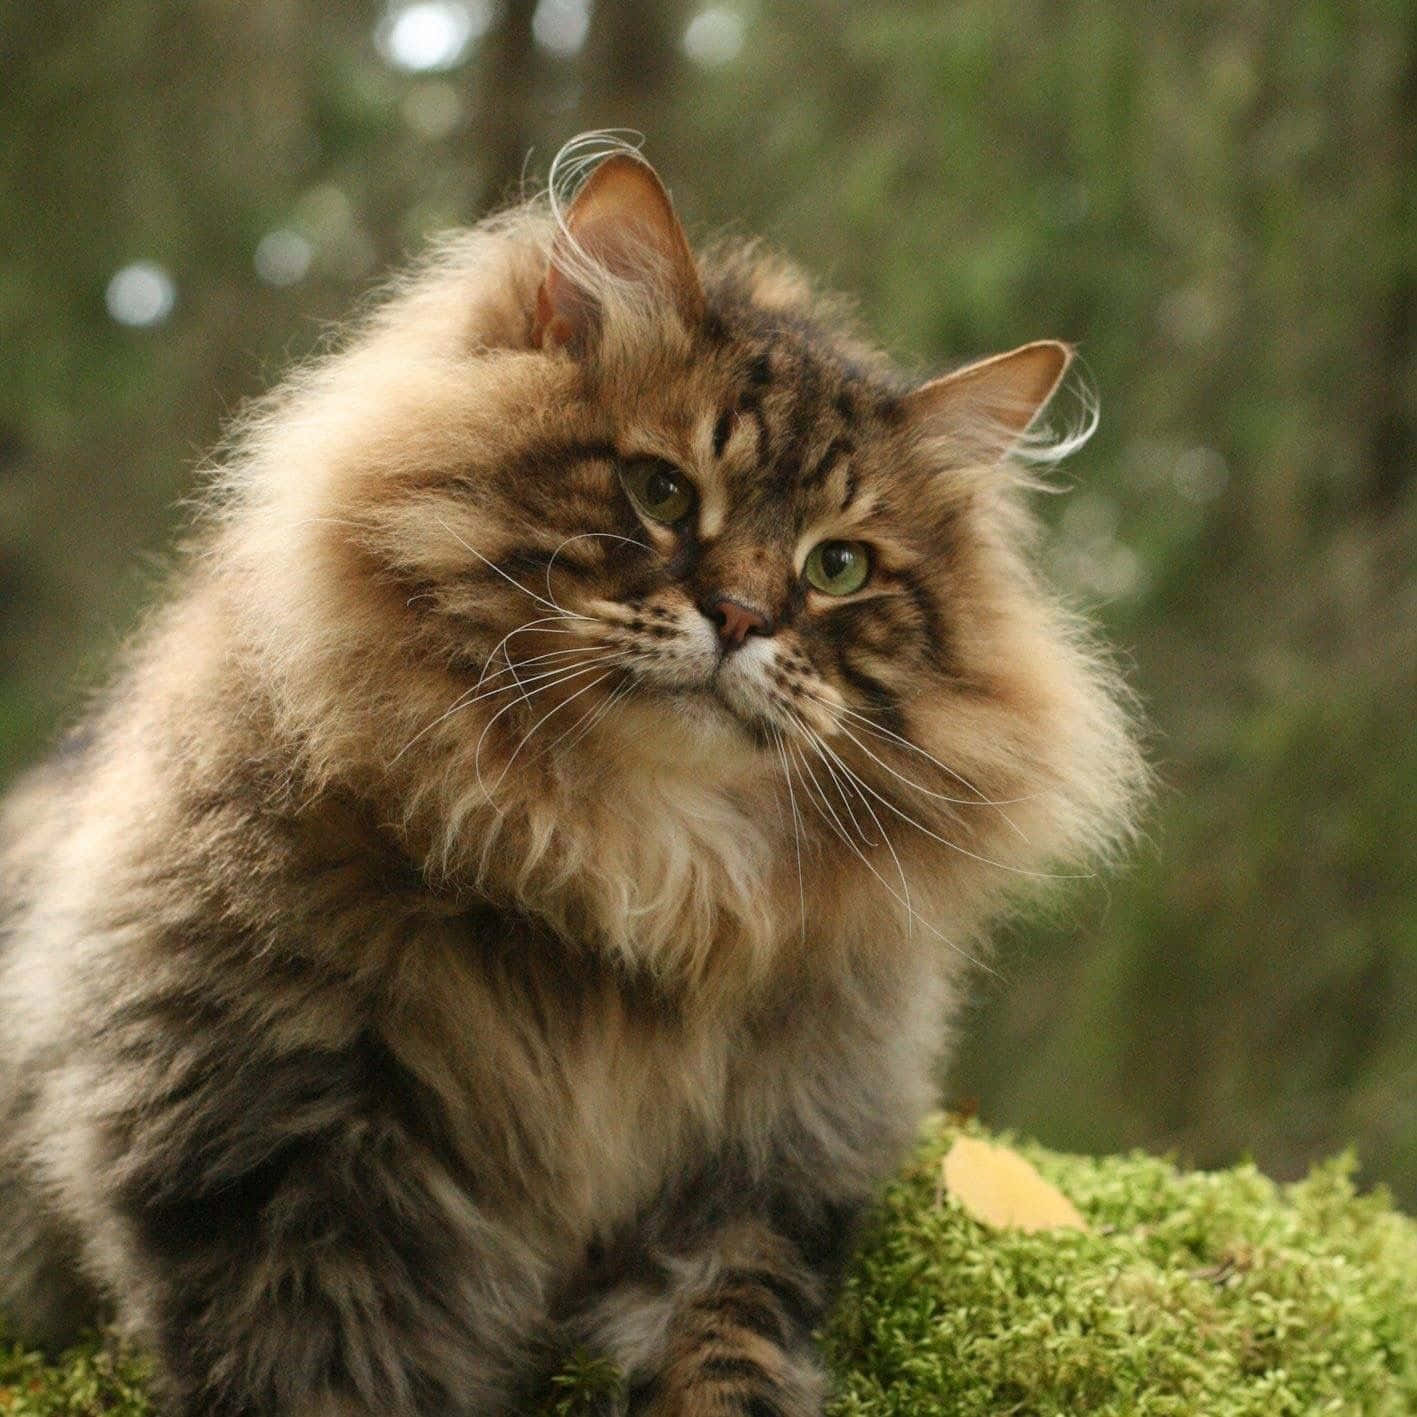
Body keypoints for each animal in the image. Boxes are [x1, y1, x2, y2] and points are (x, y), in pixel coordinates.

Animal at [0, 135, 1139, 1417]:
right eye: (661, 492)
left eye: (837, 567)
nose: (741, 616)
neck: (625, 867)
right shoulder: (270, 1164)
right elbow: (319, 1371)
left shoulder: (767, 1172)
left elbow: (730, 1337)